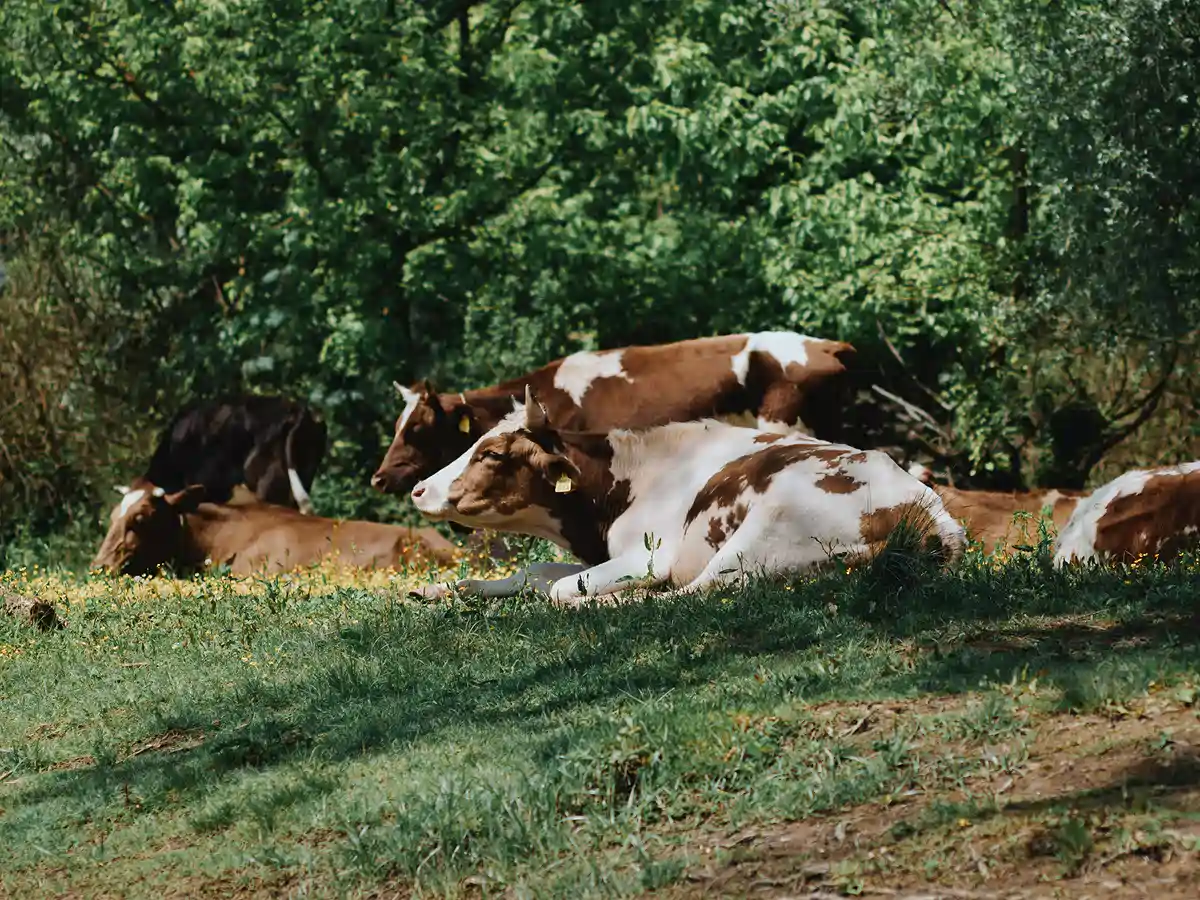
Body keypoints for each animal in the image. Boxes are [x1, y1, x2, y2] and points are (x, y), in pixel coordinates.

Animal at [407, 387, 965, 604]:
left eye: (491, 454)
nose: (419, 489)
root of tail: (930, 514)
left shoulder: (648, 556)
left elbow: (560, 586)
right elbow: (533, 571)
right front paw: (438, 589)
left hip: (765, 531)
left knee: (691, 591)